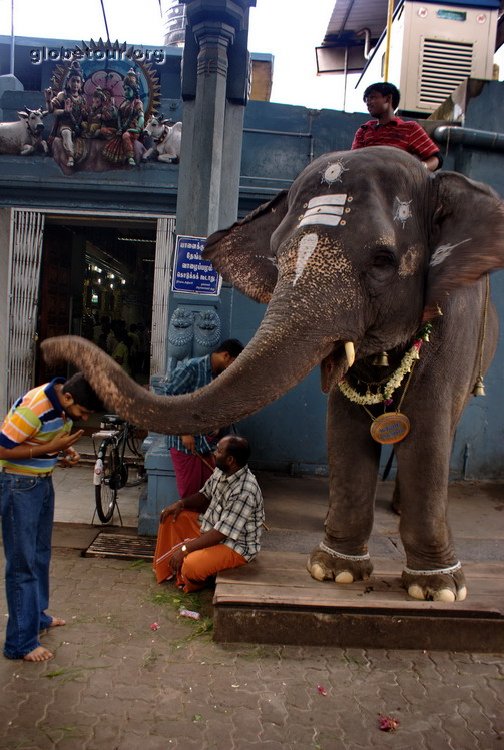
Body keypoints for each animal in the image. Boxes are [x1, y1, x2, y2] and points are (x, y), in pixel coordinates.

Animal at [40, 147, 504, 604]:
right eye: (278, 255)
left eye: (383, 260)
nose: (51, 348)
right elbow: (343, 427)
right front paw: (334, 571)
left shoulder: (456, 321)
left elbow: (426, 429)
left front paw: (438, 589)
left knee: (446, 427)